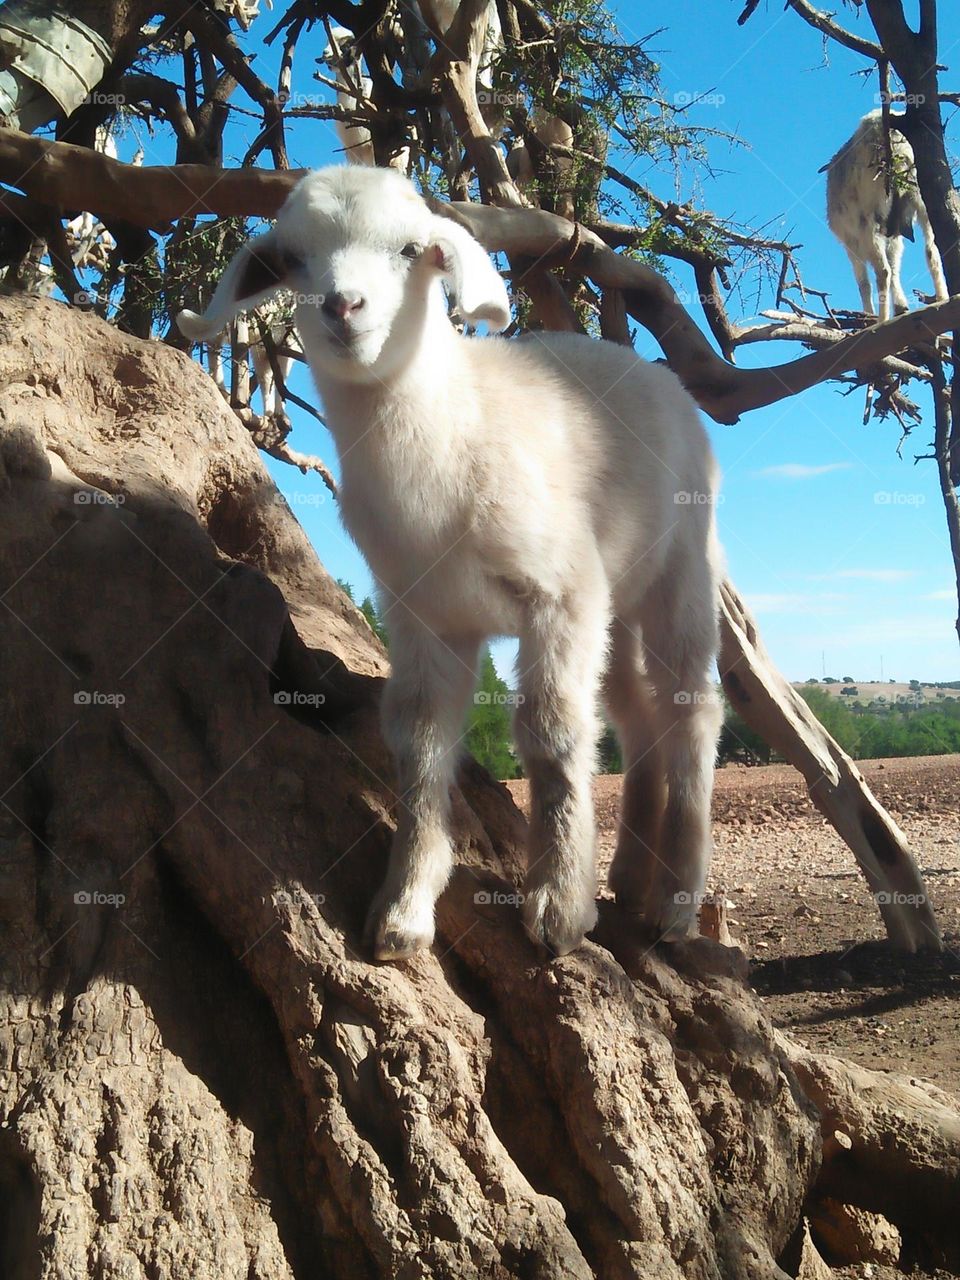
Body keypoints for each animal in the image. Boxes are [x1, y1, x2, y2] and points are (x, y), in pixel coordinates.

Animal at [177, 165, 723, 961]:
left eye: (412, 250)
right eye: (292, 260)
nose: (343, 305)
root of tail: (651, 371)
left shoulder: (560, 592)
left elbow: (552, 736)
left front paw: (557, 910)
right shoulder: (422, 613)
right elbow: (420, 744)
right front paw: (403, 910)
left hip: (681, 564)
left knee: (691, 707)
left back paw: (675, 903)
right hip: (615, 597)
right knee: (634, 713)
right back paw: (628, 877)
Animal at [824, 109, 948, 320]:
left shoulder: (851, 242)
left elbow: (864, 283)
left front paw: (869, 315)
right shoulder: (894, 236)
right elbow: (895, 267)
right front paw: (901, 307)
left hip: (868, 219)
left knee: (882, 272)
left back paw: (880, 321)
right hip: (923, 201)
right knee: (931, 250)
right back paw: (941, 298)